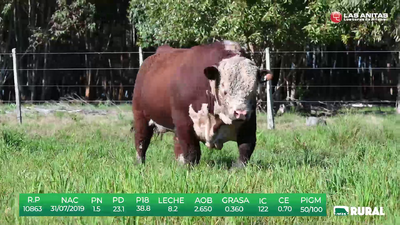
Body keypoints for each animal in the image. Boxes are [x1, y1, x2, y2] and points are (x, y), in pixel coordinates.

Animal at [132, 40, 272, 166]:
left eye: (253, 91)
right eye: (225, 91)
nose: (241, 113)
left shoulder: (248, 125)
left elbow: (245, 149)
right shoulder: (184, 123)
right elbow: (192, 152)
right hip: (141, 117)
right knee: (141, 142)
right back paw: (140, 163)